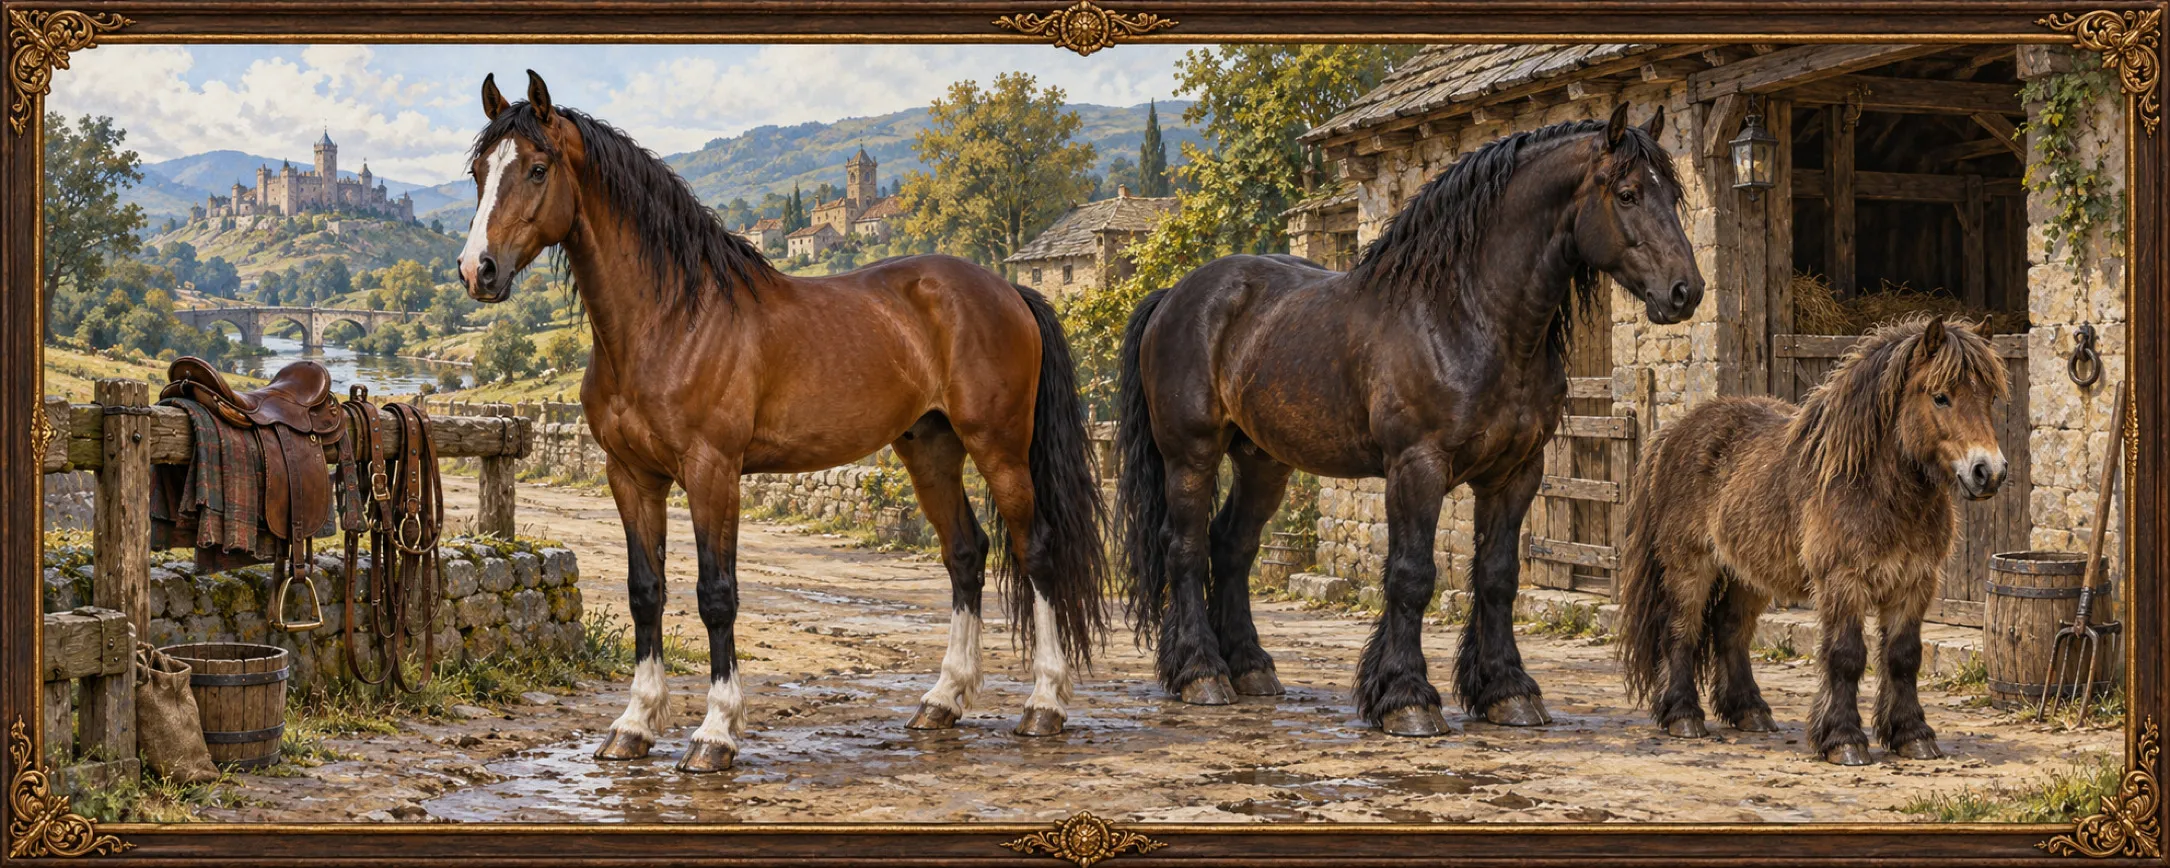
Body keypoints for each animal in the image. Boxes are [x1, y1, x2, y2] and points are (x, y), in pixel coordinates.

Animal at [456, 71, 1108, 773]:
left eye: (537, 167)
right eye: (479, 171)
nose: (477, 270)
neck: (670, 320)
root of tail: (1009, 290)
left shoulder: (713, 473)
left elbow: (716, 595)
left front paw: (715, 733)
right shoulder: (630, 475)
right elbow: (645, 591)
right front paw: (633, 725)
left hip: (999, 446)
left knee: (1035, 551)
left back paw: (1044, 705)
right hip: (930, 449)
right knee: (965, 553)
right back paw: (942, 701)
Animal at [1117, 104, 1704, 737]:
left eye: (1673, 194)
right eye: (1627, 193)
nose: (1686, 291)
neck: (1465, 315)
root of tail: (1175, 294)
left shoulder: (1516, 473)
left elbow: (1498, 577)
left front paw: (1507, 691)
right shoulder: (1416, 467)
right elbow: (1411, 575)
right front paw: (1406, 697)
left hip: (1263, 462)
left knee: (1231, 546)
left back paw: (1250, 668)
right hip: (1191, 455)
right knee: (1184, 547)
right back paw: (1201, 673)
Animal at [1616, 315, 2009, 765]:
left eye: (1990, 396)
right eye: (1941, 397)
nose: (1989, 472)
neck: (1872, 487)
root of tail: (1672, 433)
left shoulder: (1914, 582)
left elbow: (1904, 657)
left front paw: (1912, 734)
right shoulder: (1842, 581)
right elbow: (1846, 656)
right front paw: (1843, 739)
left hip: (1746, 572)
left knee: (1731, 629)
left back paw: (1750, 710)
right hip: (1689, 564)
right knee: (1682, 629)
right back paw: (1683, 716)